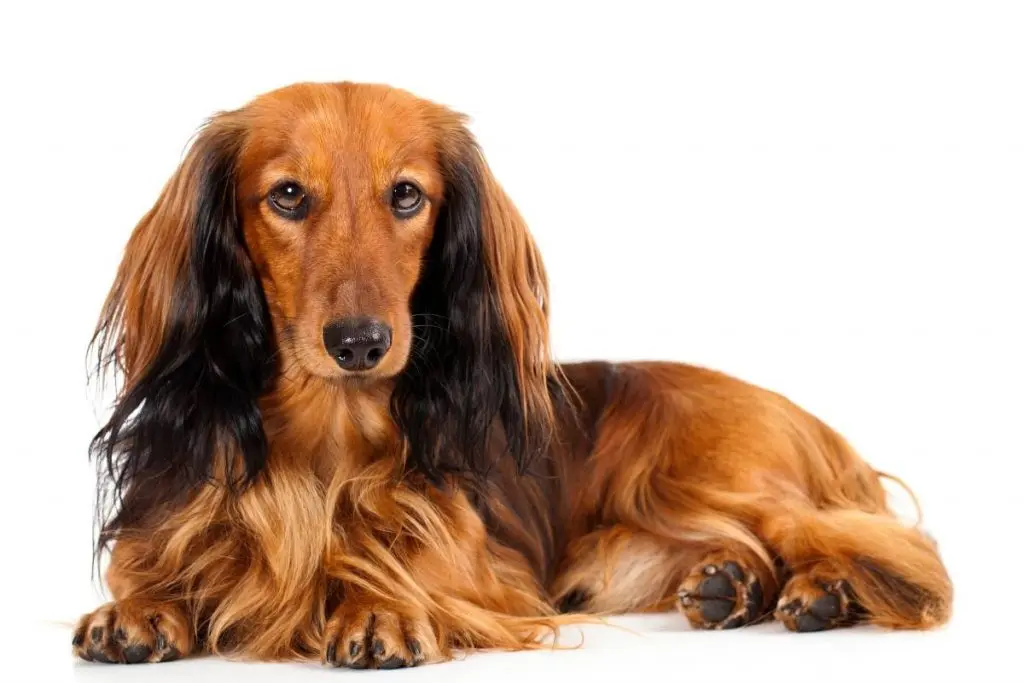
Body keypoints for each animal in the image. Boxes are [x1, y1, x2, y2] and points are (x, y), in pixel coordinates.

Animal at [72, 80, 950, 667]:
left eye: (406, 195)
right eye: (287, 195)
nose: (359, 342)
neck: (327, 436)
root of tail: (813, 420)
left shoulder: (486, 566)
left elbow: (413, 563)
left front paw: (382, 606)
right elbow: (154, 567)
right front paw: (138, 608)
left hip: (704, 479)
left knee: (898, 548)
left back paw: (823, 591)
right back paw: (730, 584)